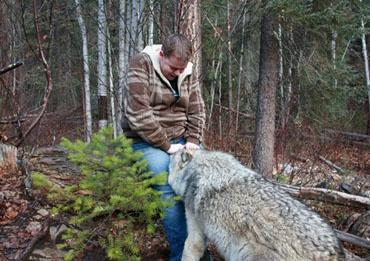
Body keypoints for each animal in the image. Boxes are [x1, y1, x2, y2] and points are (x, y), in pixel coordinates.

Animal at [169, 149, 346, 258]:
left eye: (171, 160)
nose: (168, 152)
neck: (194, 171)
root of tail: (333, 252)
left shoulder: (195, 228)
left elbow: (189, 250)